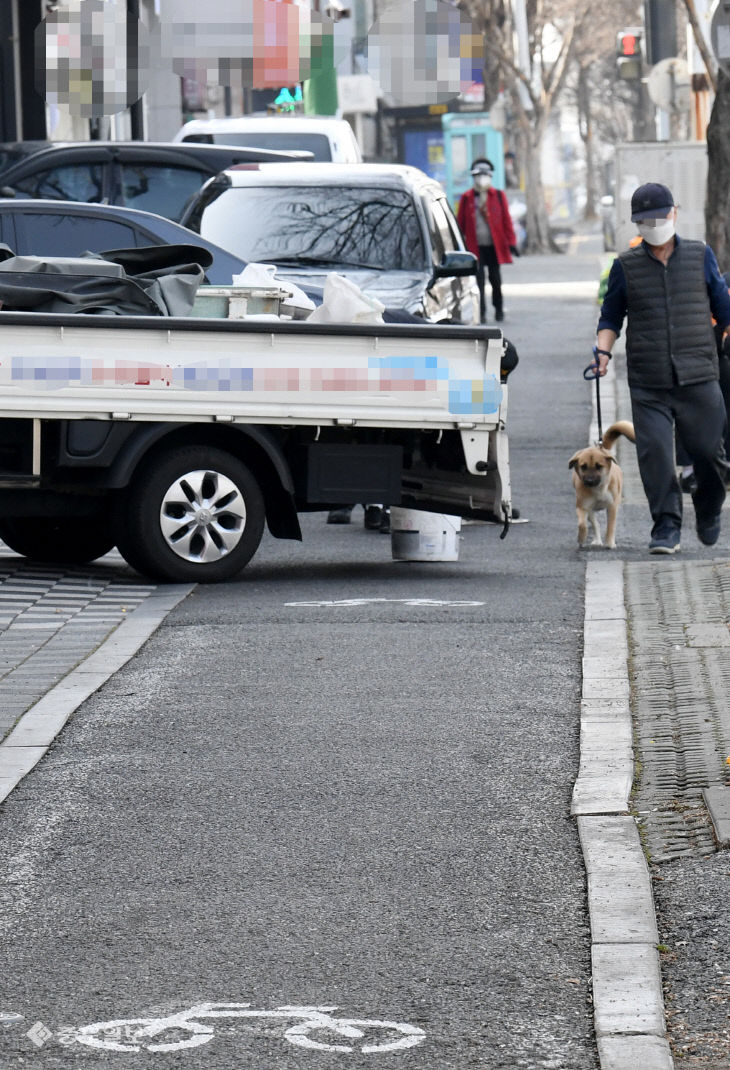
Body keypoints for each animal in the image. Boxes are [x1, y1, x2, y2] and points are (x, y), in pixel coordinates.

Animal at [569, 419, 629, 552]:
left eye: (599, 466)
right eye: (583, 466)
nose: (590, 481)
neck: (599, 489)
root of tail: (600, 447)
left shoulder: (612, 506)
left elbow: (610, 526)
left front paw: (610, 543)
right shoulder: (583, 507)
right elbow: (583, 524)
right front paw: (581, 538)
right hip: (590, 510)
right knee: (595, 524)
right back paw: (596, 540)